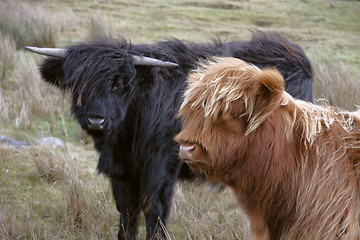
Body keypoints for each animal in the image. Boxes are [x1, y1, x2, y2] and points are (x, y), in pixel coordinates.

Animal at [26, 31, 312, 239]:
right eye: (77, 83)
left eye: (120, 84)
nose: (97, 120)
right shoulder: (121, 169)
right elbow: (127, 210)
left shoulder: (161, 165)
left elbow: (155, 208)